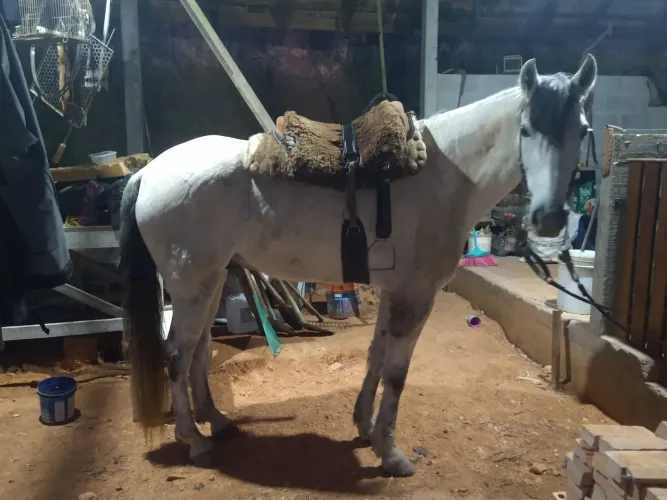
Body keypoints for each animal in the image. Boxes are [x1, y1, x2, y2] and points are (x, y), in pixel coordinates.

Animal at [119, 54, 597, 477]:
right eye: (526, 129)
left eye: (582, 130)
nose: (550, 219)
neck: (448, 177)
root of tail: (149, 171)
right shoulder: (416, 295)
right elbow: (398, 373)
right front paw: (391, 454)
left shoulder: (394, 291)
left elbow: (376, 356)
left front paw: (365, 426)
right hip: (191, 283)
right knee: (177, 354)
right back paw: (194, 441)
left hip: (212, 280)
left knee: (199, 351)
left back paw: (216, 422)